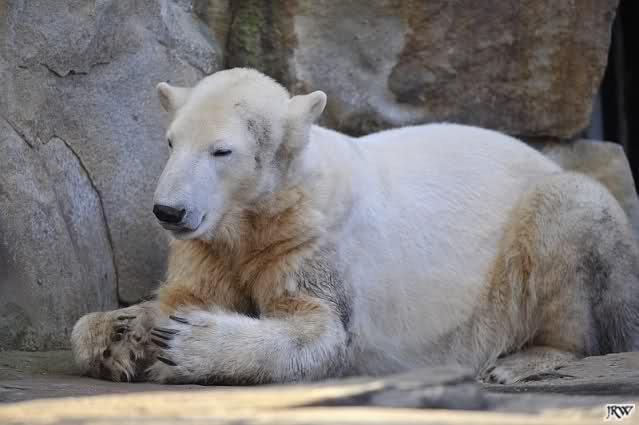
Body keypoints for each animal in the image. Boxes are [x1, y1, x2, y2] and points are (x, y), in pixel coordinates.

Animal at [71, 68, 639, 385]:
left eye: (221, 150)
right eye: (171, 141)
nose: (168, 211)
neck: (261, 214)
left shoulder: (313, 240)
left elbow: (319, 331)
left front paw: (186, 341)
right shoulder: (211, 244)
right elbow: (175, 297)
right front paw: (119, 335)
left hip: (539, 231)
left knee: (570, 219)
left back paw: (521, 361)